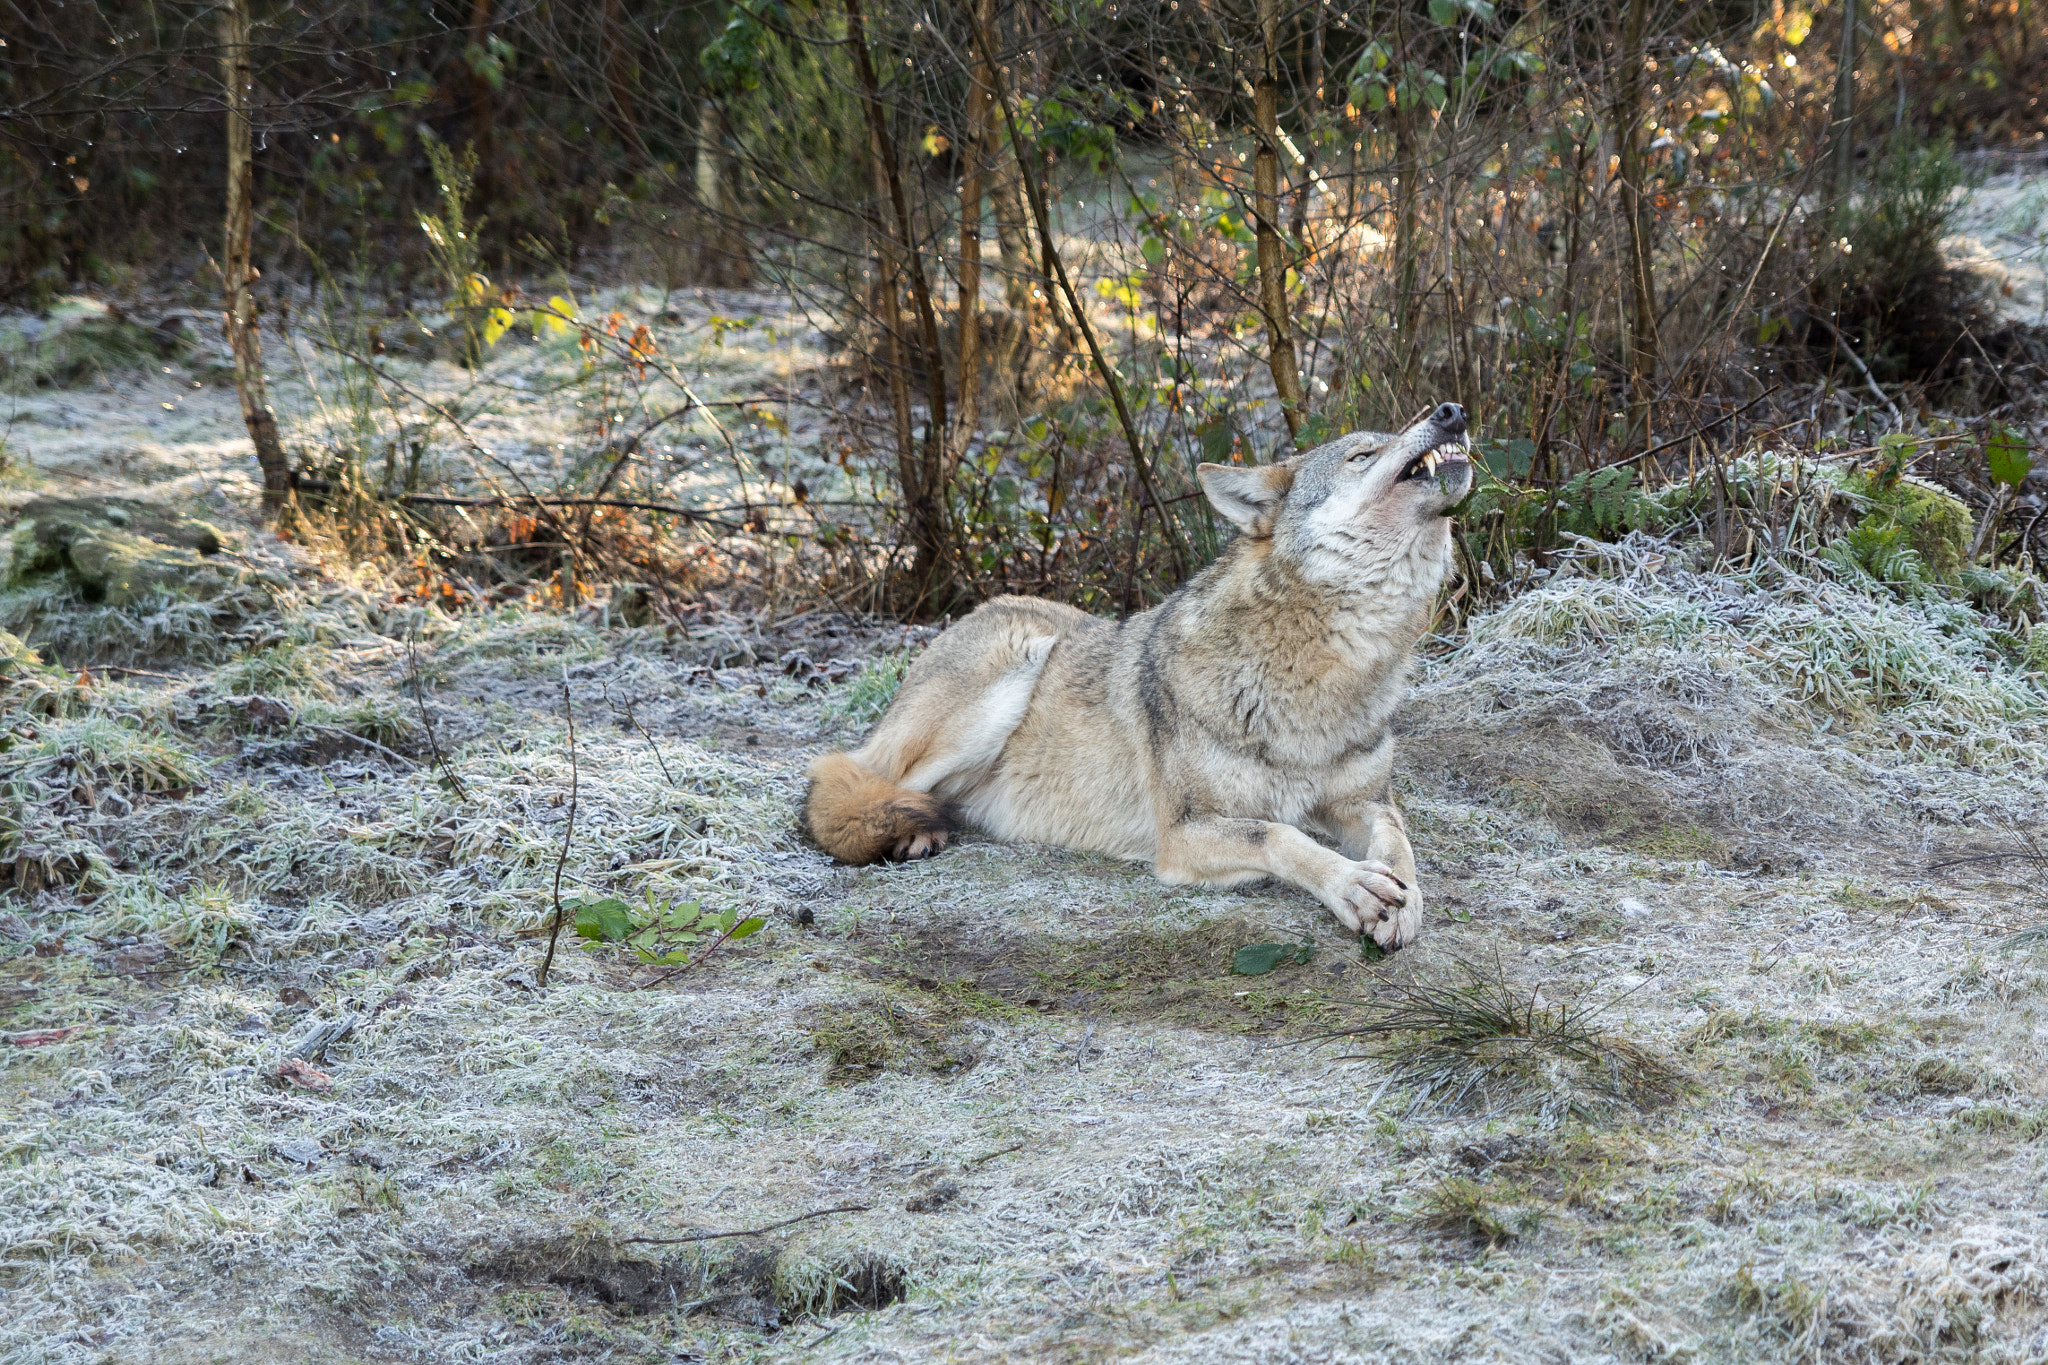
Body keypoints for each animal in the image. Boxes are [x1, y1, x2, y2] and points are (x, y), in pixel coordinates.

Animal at [804, 402, 1473, 951]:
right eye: (1363, 454)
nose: (1453, 412)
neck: (1327, 673)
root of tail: (975, 611)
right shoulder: (1182, 833)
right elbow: (1281, 836)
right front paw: (1355, 886)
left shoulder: (1365, 801)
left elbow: (1397, 840)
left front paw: (1403, 896)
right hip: (1006, 675)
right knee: (852, 781)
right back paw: (908, 832)